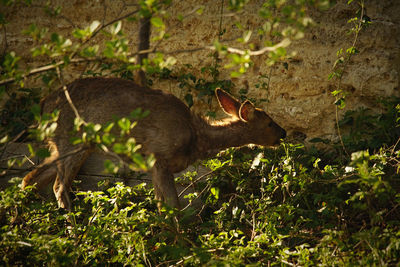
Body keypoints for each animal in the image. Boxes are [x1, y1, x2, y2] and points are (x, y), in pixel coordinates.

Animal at [21, 76, 286, 210]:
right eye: (269, 122)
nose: (283, 133)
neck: (196, 138)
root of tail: (43, 105)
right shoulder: (159, 158)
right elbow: (171, 207)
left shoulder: (154, 166)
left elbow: (162, 206)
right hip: (72, 139)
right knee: (58, 187)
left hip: (68, 144)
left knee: (30, 178)